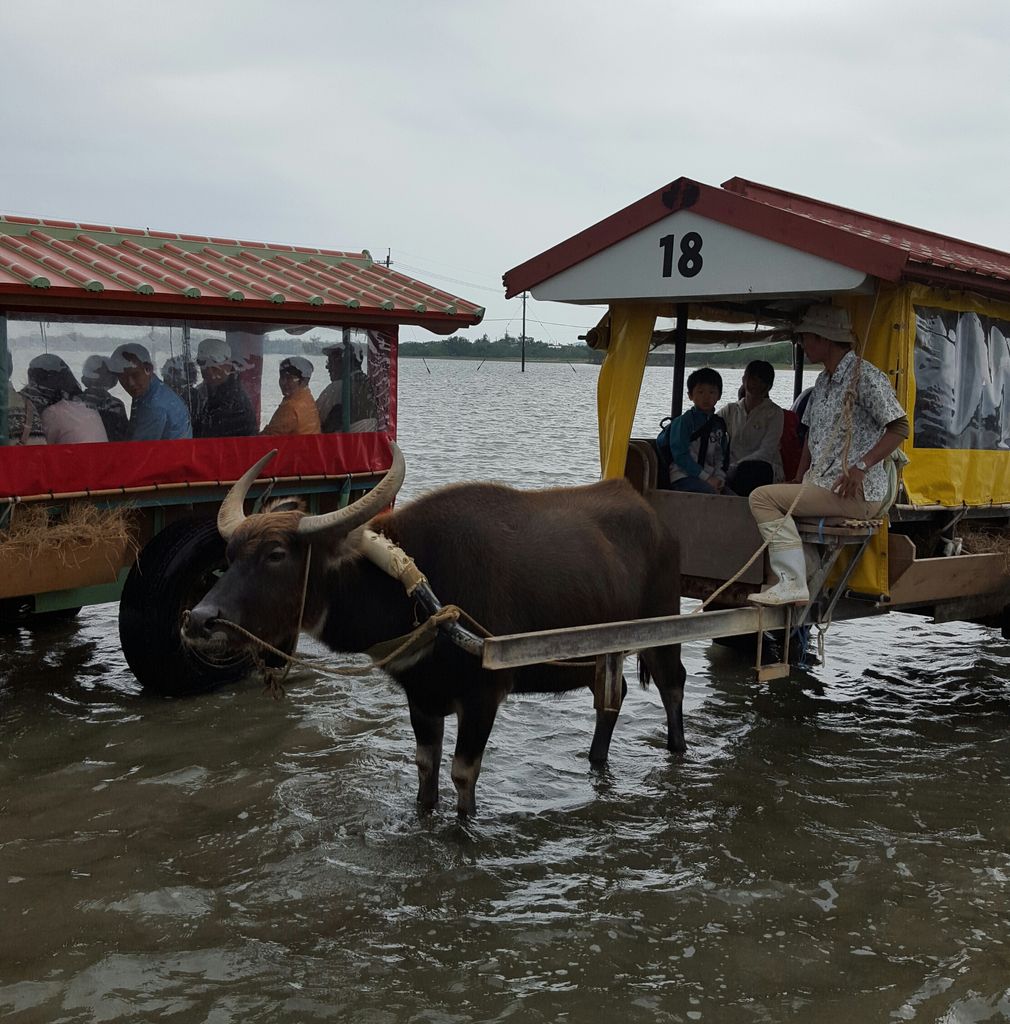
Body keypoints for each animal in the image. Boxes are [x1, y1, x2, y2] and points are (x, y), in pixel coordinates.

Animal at [183, 448, 684, 815]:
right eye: (229, 554)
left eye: (276, 554)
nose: (198, 620)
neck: (418, 591)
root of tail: (652, 515)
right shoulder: (422, 697)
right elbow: (426, 769)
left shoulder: (483, 696)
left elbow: (463, 774)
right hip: (606, 651)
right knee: (611, 695)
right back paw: (597, 762)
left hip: (663, 632)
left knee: (671, 683)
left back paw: (678, 750)